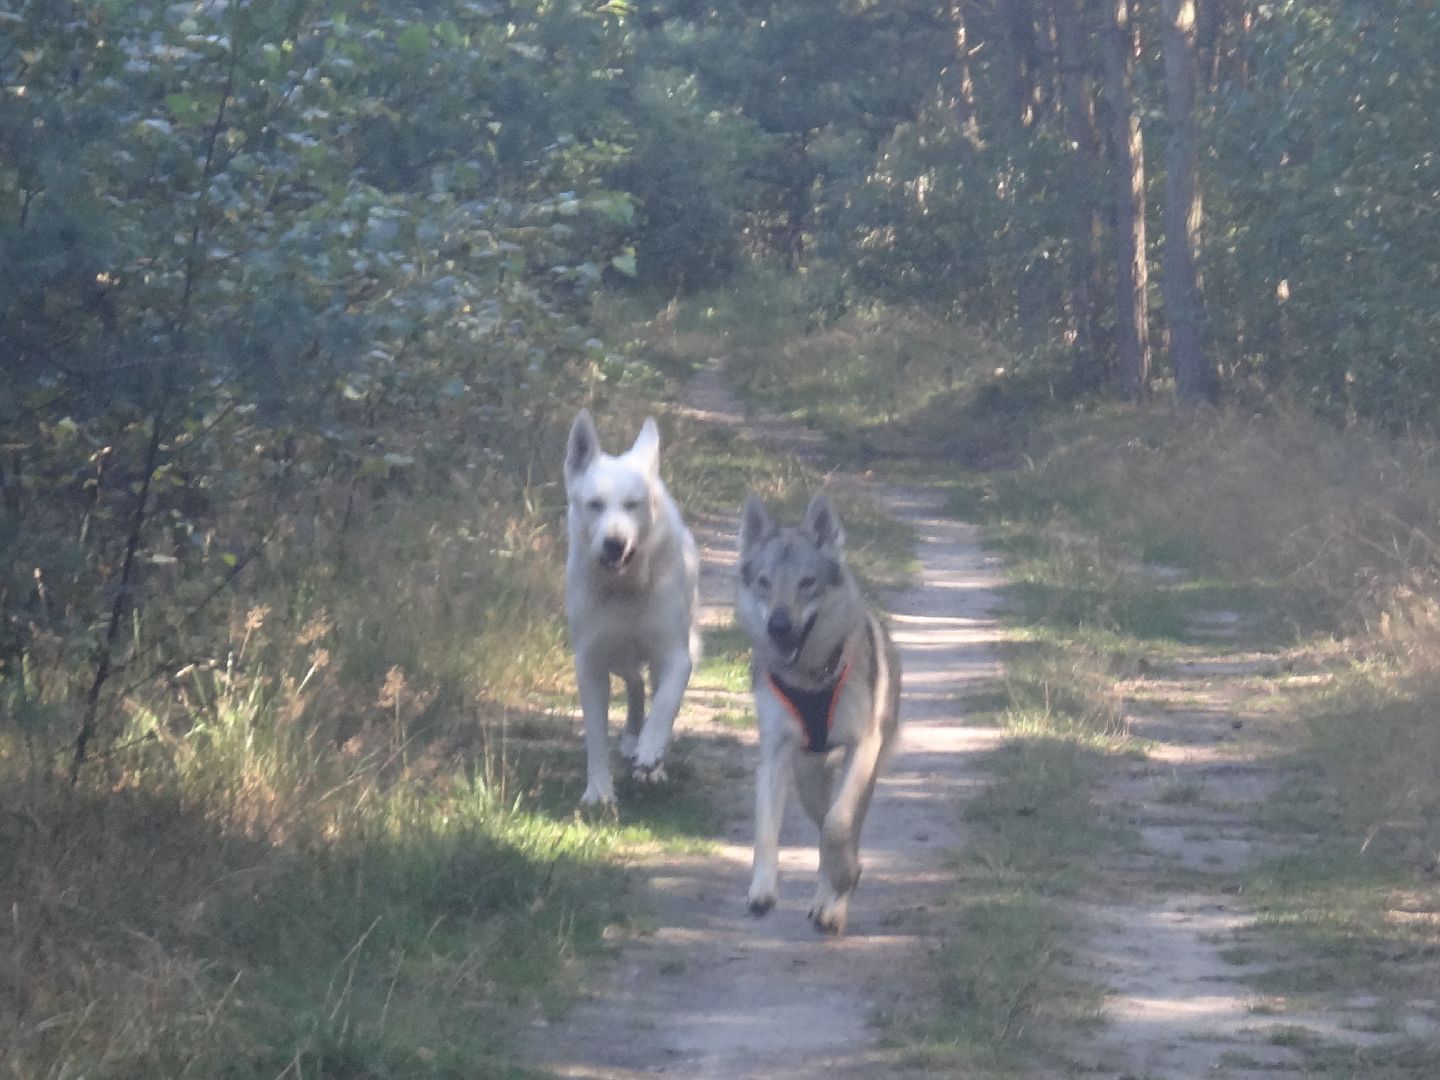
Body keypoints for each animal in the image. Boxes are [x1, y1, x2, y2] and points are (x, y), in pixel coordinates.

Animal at [561, 408, 696, 806]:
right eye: (595, 504)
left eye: (632, 505)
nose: (614, 543)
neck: (624, 589)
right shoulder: (590, 662)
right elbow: (595, 734)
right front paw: (599, 791)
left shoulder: (675, 655)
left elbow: (665, 704)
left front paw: (650, 751)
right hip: (617, 654)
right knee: (634, 683)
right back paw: (631, 739)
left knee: (652, 690)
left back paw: (650, 758)